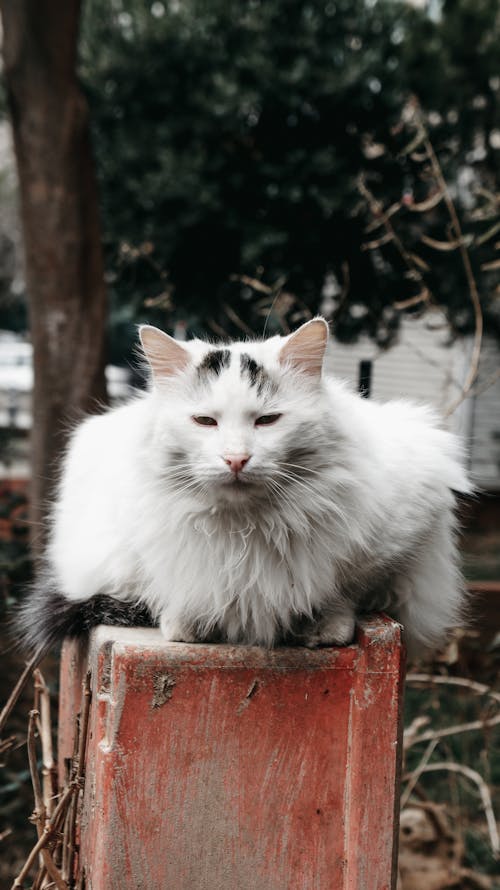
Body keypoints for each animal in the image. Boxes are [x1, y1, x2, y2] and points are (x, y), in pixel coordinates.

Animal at [19, 318, 470, 652]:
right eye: (205, 421)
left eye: (267, 421)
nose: (236, 458)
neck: (247, 529)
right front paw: (187, 624)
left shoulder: (397, 539)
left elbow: (345, 591)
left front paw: (326, 627)